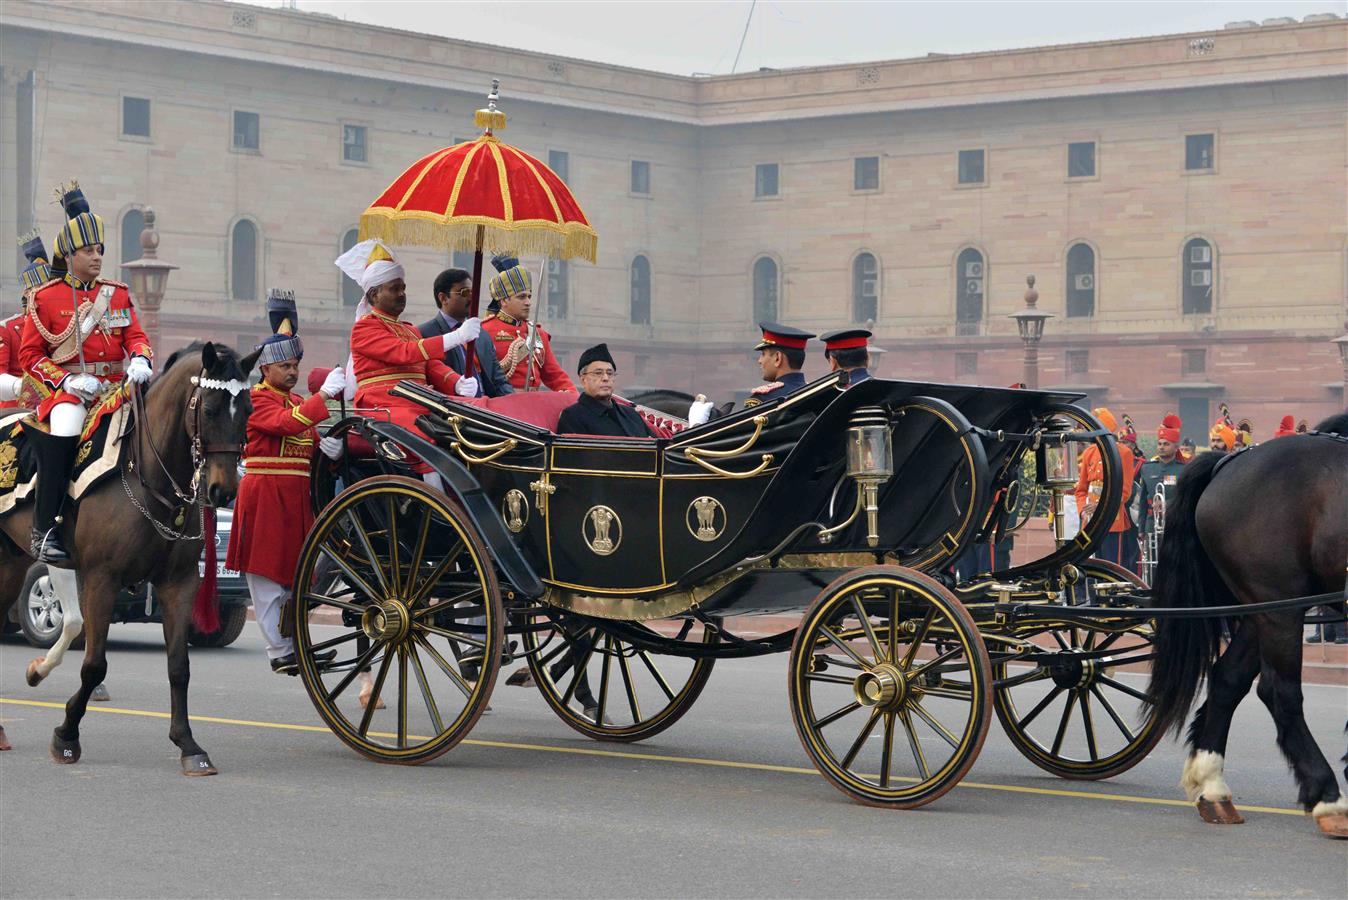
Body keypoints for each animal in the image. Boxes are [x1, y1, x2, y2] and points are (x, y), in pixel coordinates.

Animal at [0, 340, 254, 770]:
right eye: (209, 409)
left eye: (249, 411)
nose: (223, 491)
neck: (148, 473)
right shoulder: (102, 580)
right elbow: (94, 664)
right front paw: (66, 736)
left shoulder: (179, 583)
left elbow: (179, 666)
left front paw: (189, 745)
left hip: (11, 561)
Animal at [1148, 412, 1348, 835]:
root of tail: (1230, 462)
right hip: (1277, 605)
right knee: (1279, 691)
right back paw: (1326, 796)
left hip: (1267, 606)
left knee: (1228, 678)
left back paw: (1212, 786)